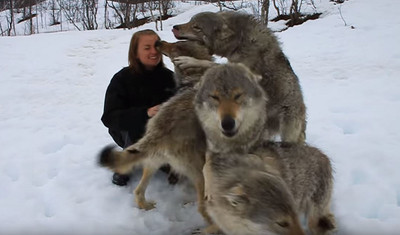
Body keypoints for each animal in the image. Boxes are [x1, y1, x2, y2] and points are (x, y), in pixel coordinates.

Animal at [173, 10, 308, 143]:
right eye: (190, 21)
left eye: (196, 27)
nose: (174, 27)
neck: (239, 41)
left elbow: (210, 64)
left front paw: (187, 61)